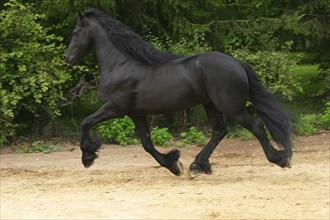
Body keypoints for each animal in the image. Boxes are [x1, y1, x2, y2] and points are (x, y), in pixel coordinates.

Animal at [64, 9, 292, 177]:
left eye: (76, 32)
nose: (67, 57)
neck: (120, 65)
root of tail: (237, 63)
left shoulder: (115, 108)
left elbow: (85, 122)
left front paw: (88, 157)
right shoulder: (136, 114)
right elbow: (147, 144)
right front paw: (173, 164)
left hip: (232, 107)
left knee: (256, 127)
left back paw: (280, 159)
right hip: (210, 104)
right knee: (219, 131)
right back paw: (198, 165)